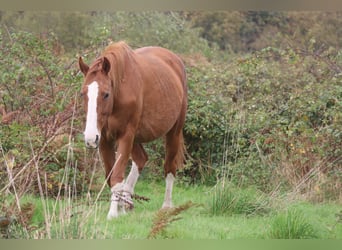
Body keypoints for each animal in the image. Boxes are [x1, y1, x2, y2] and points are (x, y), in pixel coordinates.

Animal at [78, 42, 187, 220]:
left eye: (106, 94)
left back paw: (166, 207)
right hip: (135, 138)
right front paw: (120, 208)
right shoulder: (105, 140)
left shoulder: (125, 136)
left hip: (173, 132)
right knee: (141, 159)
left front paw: (113, 214)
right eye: (82, 94)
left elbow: (117, 175)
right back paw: (127, 202)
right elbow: (111, 177)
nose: (90, 138)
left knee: (169, 167)